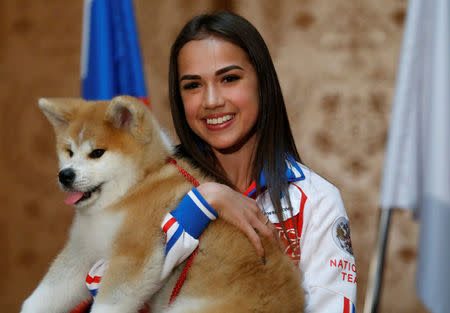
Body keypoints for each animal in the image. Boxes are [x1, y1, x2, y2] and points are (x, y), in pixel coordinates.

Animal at [20, 95, 302, 312]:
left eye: (97, 153)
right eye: (69, 151)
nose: (65, 175)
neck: (131, 190)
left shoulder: (135, 255)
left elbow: (108, 303)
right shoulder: (82, 251)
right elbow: (41, 298)